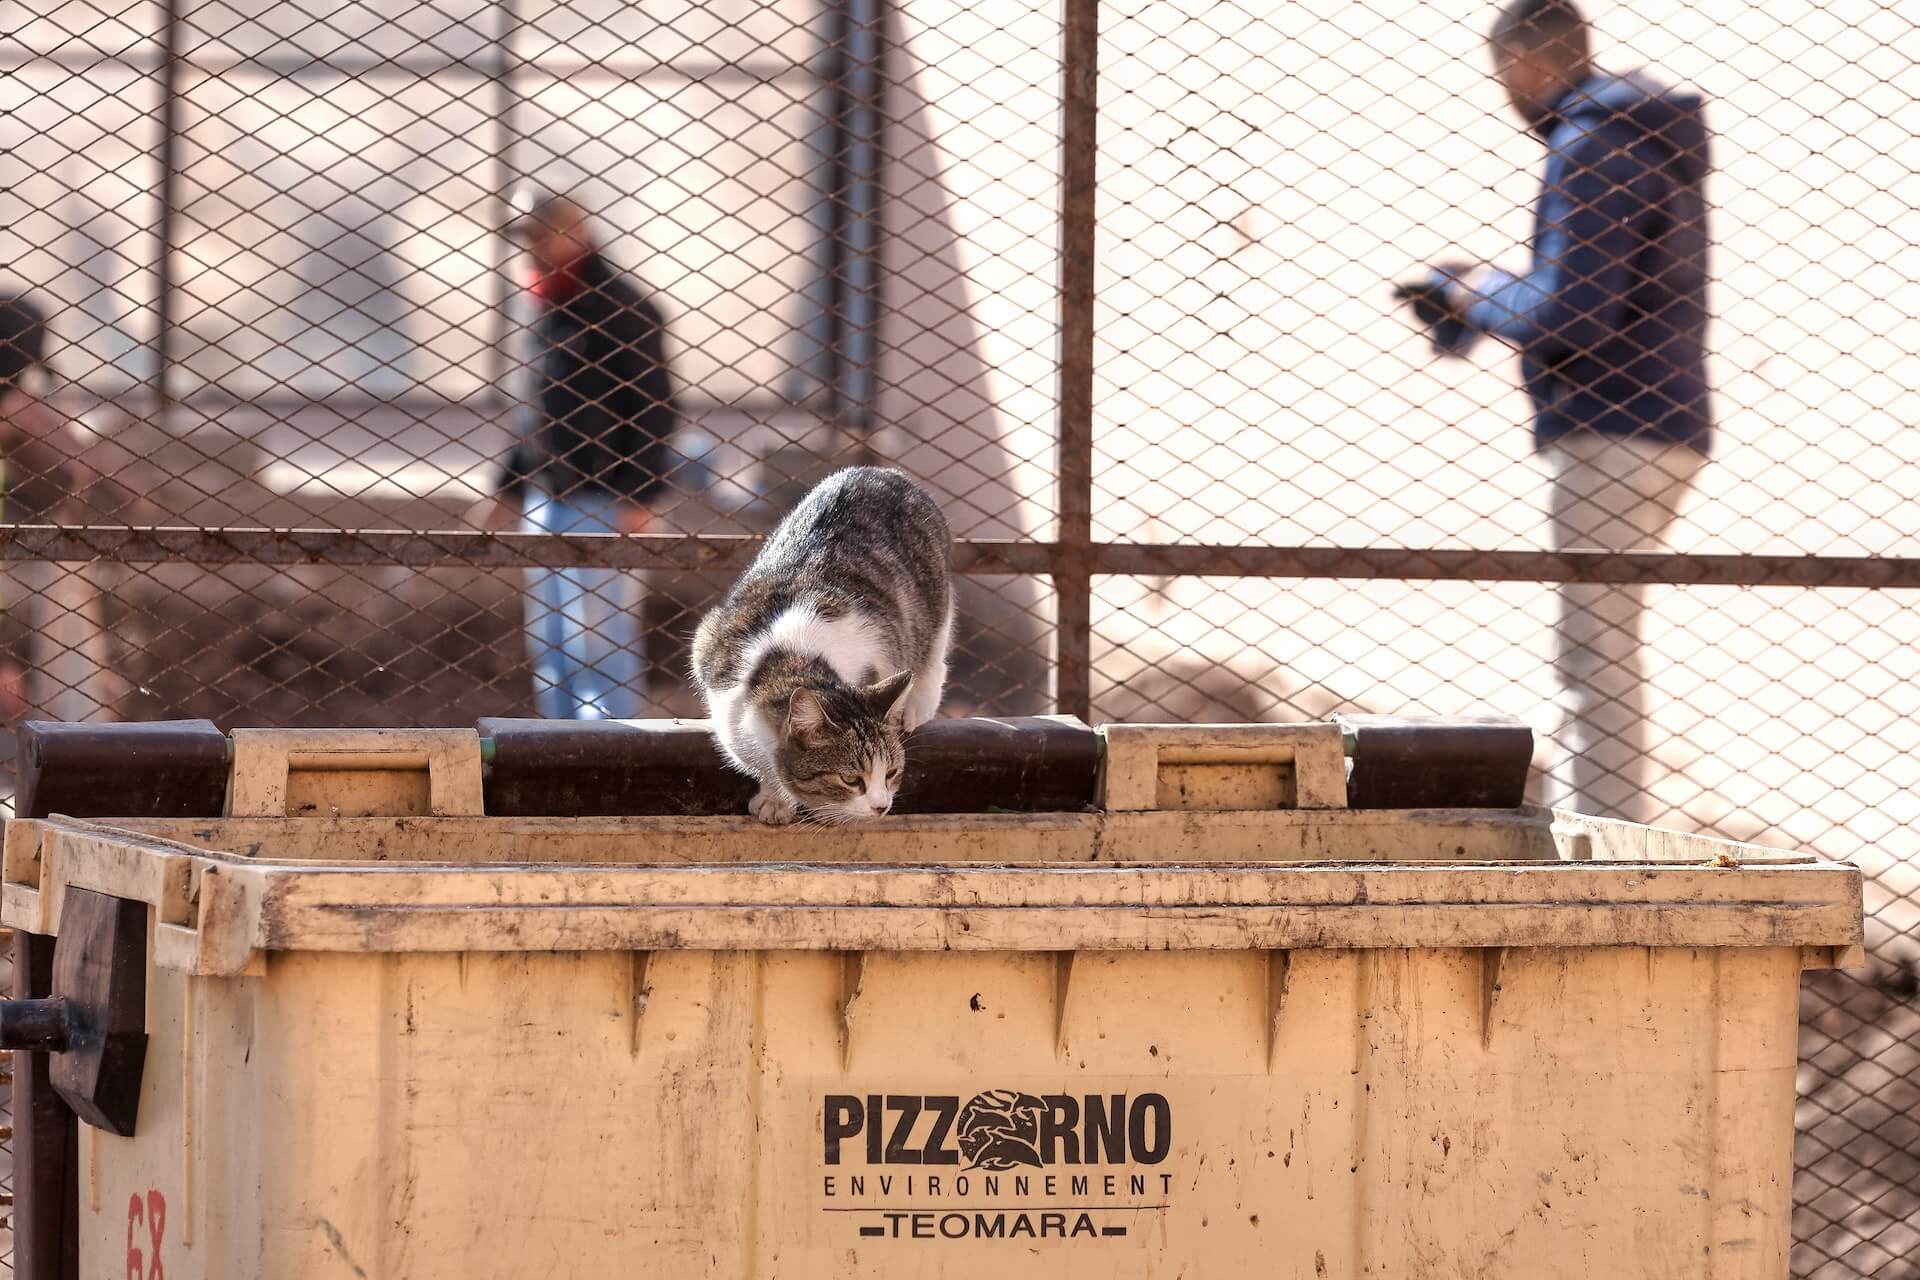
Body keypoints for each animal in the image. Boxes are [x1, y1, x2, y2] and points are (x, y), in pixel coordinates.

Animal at [695, 466, 956, 825]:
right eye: (850, 779)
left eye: (891, 773)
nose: (882, 806)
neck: (789, 656)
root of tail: (877, 470)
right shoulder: (708, 647)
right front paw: (775, 797)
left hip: (936, 598)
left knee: (936, 650)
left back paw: (918, 703)